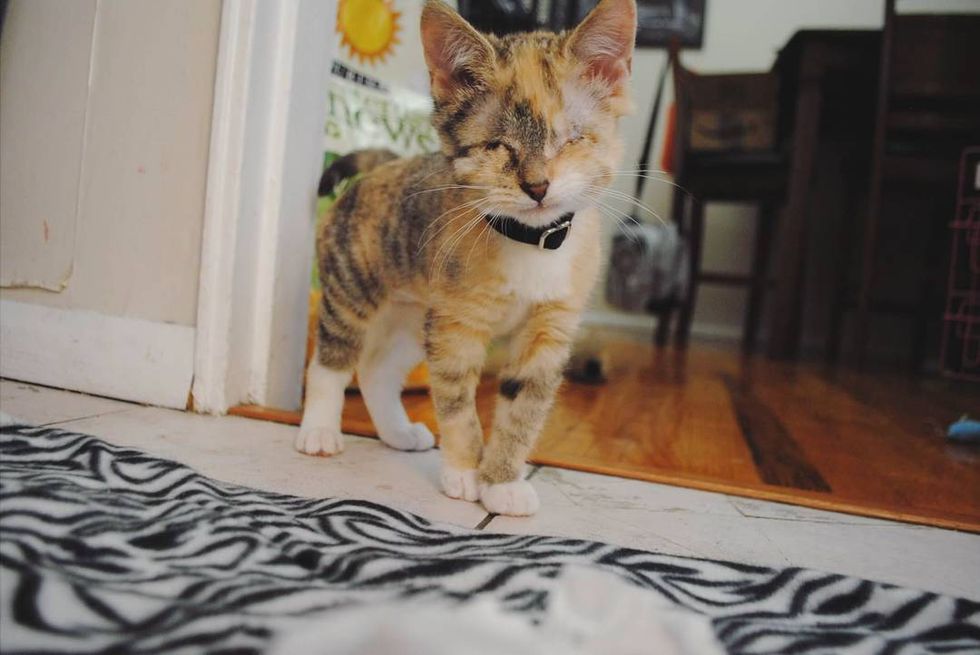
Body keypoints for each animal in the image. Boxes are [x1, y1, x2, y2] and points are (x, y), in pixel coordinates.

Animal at [296, 0, 637, 516]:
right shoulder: (456, 325)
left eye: (571, 140)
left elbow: (523, 406)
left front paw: (502, 482)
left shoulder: (550, 328)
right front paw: (463, 472)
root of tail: (387, 164)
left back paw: (398, 433)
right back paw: (318, 429)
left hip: (414, 315)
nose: (538, 186)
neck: (529, 243)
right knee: (335, 357)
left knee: (376, 369)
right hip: (353, 286)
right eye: (498, 146)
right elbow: (456, 401)